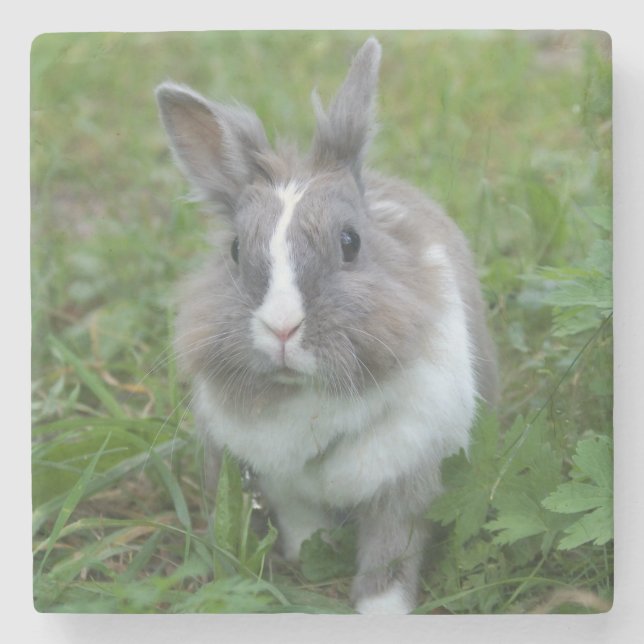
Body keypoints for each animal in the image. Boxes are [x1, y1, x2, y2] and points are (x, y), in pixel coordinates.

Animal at [155, 36, 498, 614]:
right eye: (235, 250)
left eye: (350, 242)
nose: (282, 329)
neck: (311, 399)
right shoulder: (282, 487)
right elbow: (304, 526)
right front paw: (309, 557)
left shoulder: (407, 483)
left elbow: (390, 554)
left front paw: (381, 613)